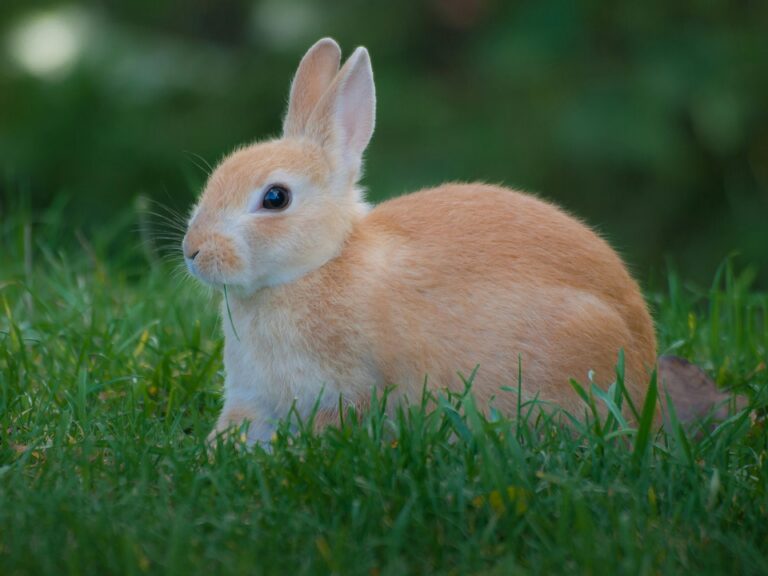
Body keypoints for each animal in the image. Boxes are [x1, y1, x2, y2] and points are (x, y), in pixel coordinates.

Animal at [182, 38, 657, 446]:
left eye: (275, 198)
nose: (193, 251)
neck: (319, 265)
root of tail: (644, 359)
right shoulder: (253, 398)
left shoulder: (344, 392)